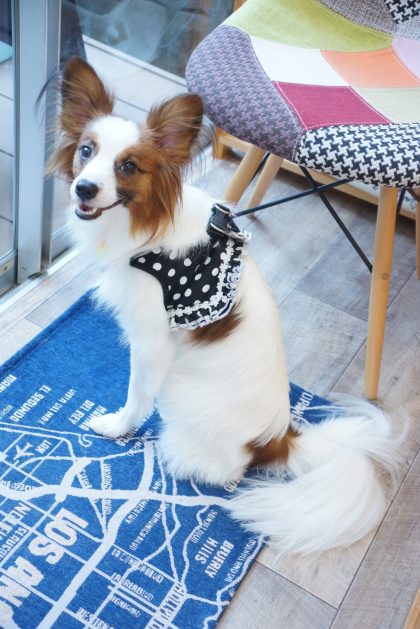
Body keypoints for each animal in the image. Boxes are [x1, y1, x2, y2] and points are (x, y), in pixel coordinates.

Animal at [50, 57, 398, 555]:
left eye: (129, 166)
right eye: (85, 151)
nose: (84, 189)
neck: (146, 229)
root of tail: (276, 441)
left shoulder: (151, 343)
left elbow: (136, 396)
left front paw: (117, 428)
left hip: (181, 396)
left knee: (221, 468)